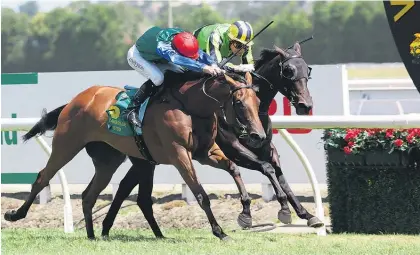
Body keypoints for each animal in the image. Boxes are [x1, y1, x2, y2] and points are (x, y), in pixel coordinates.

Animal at [4, 71, 266, 241]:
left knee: (90, 195)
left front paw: (245, 214)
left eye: (259, 101)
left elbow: (233, 169)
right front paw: (220, 231)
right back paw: (15, 215)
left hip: (108, 161)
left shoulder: (205, 152)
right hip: (66, 146)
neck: (190, 106)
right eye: (239, 103)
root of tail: (75, 100)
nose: (258, 135)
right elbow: (201, 194)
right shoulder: (179, 153)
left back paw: (92, 235)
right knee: (43, 177)